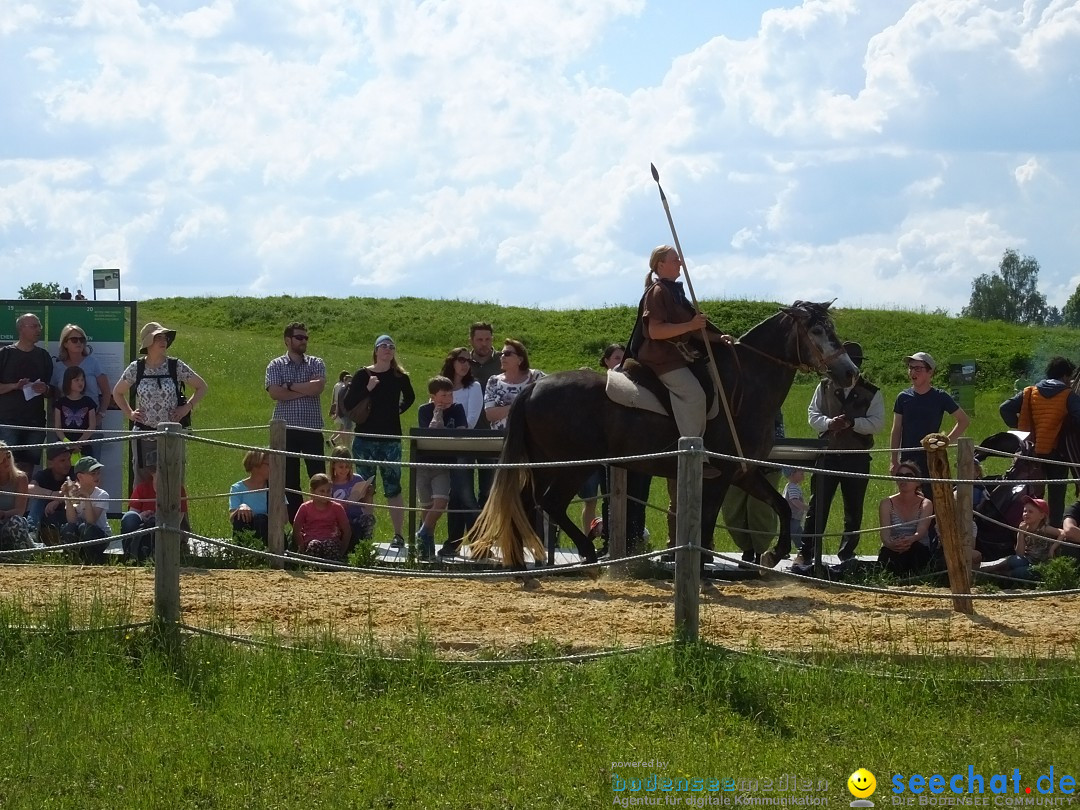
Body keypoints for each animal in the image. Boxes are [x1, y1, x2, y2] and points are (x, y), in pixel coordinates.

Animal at [464, 302, 859, 574]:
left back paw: (532, 563)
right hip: (570, 465)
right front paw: (701, 571)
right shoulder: (719, 477)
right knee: (546, 503)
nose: (850, 373)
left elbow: (780, 506)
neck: (745, 385)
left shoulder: (744, 472)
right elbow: (706, 525)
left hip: (549, 464)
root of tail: (533, 387)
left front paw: (773, 554)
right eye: (817, 331)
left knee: (530, 504)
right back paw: (579, 555)